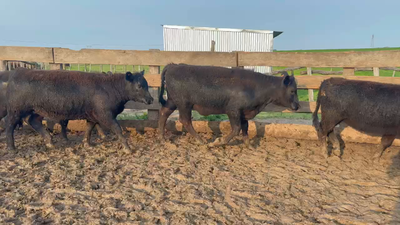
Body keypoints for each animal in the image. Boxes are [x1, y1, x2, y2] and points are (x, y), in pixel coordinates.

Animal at [5, 69, 152, 152]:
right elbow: (117, 129)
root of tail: (17, 72)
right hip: (16, 110)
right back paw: (11, 147)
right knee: (10, 125)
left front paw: (87, 144)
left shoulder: (93, 116)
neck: (111, 88)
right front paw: (128, 148)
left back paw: (49, 142)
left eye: (146, 84)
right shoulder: (106, 115)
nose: (150, 99)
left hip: (35, 111)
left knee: (33, 121)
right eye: (139, 85)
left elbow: (89, 129)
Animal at [158, 64, 298, 147]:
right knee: (185, 120)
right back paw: (201, 140)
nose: (297, 106)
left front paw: (248, 145)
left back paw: (162, 137)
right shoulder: (233, 111)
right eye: (292, 91)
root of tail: (173, 65)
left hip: (173, 101)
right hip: (184, 104)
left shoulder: (244, 114)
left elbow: (245, 128)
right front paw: (218, 142)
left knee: (163, 113)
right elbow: (236, 129)